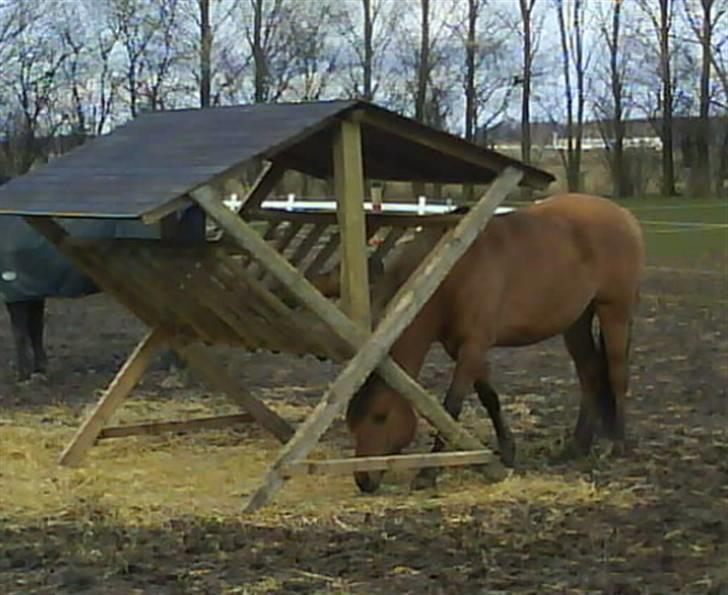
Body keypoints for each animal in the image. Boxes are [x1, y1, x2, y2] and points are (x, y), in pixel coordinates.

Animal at [346, 194, 644, 494]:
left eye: (380, 416)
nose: (364, 480)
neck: (450, 273)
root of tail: (622, 215)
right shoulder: (463, 349)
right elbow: (489, 397)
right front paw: (507, 452)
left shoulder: (473, 345)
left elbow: (451, 407)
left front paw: (428, 473)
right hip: (576, 322)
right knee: (590, 374)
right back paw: (577, 447)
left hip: (614, 313)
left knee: (617, 374)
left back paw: (615, 444)